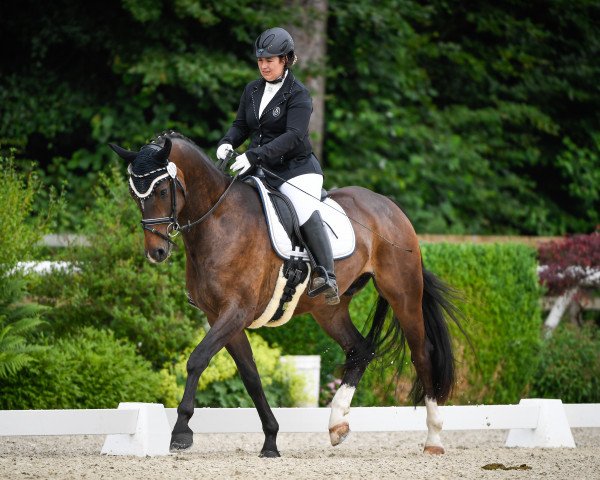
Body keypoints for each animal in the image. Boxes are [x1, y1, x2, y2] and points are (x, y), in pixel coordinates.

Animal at [108, 131, 464, 458]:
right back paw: (337, 424)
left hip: (403, 293)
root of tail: (389, 206)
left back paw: (433, 438)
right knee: (360, 350)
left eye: (162, 190)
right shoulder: (219, 316)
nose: (156, 252)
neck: (219, 221)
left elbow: (197, 360)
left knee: (421, 353)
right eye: (134, 194)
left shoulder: (236, 311)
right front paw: (271, 440)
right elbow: (251, 376)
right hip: (329, 309)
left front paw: (181, 432)